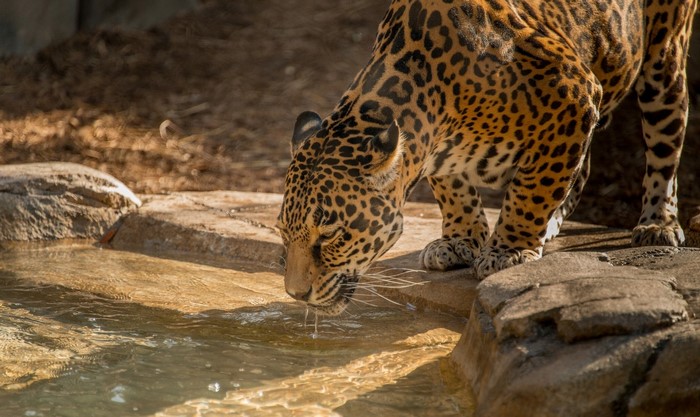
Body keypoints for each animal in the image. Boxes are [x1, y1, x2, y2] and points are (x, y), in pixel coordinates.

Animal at [276, 0, 697, 315]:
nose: (295, 294)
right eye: (283, 232)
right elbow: (453, 187)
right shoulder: (435, 147)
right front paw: (460, 240)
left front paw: (509, 250)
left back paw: (658, 223)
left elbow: (534, 187)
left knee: (664, 146)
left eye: (331, 234)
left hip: (664, 61)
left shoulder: (574, 93)